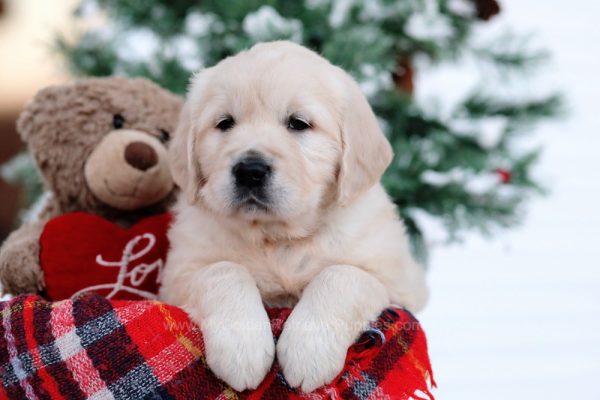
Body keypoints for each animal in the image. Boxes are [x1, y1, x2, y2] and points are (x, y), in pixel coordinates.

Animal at [159, 41, 428, 394]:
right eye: (225, 123)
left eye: (298, 123)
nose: (250, 171)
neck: (278, 237)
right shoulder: (178, 276)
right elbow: (223, 271)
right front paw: (242, 349)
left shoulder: (397, 283)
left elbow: (342, 275)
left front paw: (308, 352)